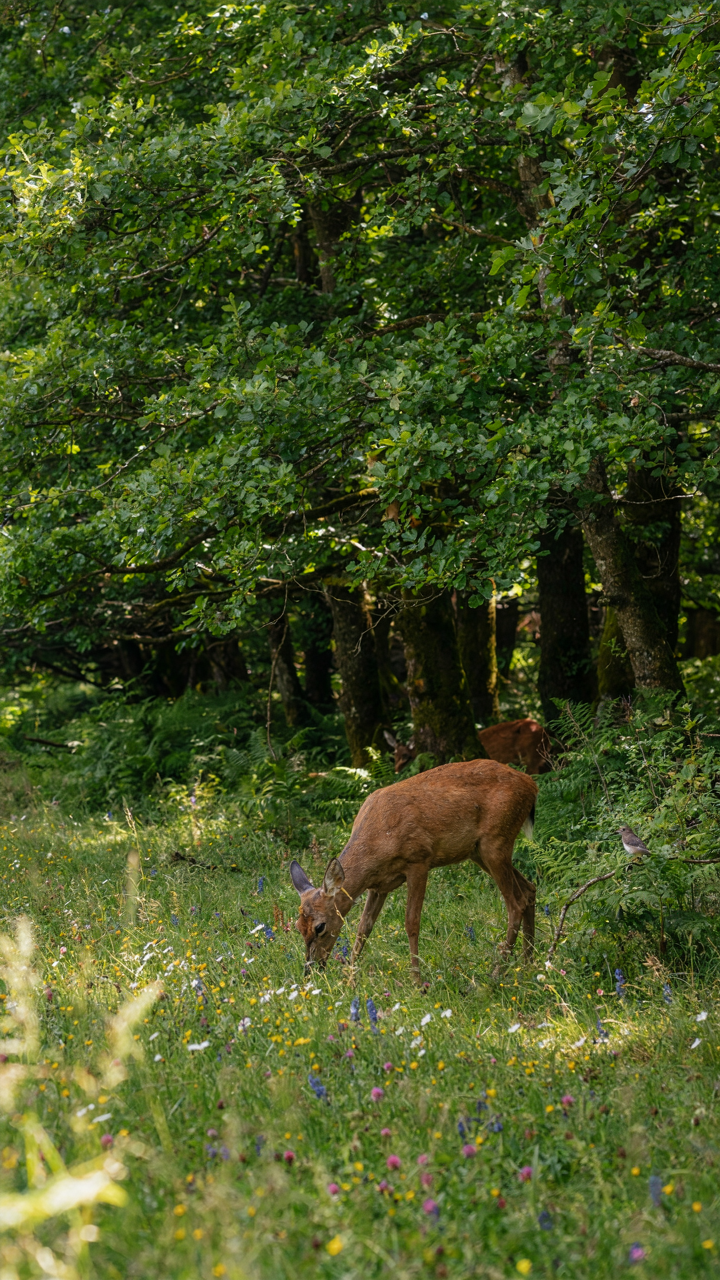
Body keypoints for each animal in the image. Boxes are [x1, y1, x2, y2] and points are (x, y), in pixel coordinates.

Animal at [290, 759, 537, 984]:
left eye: (320, 927)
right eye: (298, 926)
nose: (311, 970)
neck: (377, 841)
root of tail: (532, 785)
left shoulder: (418, 861)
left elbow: (411, 923)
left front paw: (418, 984)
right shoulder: (379, 885)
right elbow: (363, 928)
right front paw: (350, 982)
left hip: (496, 840)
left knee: (515, 903)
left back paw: (497, 973)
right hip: (479, 851)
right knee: (529, 889)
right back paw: (528, 965)